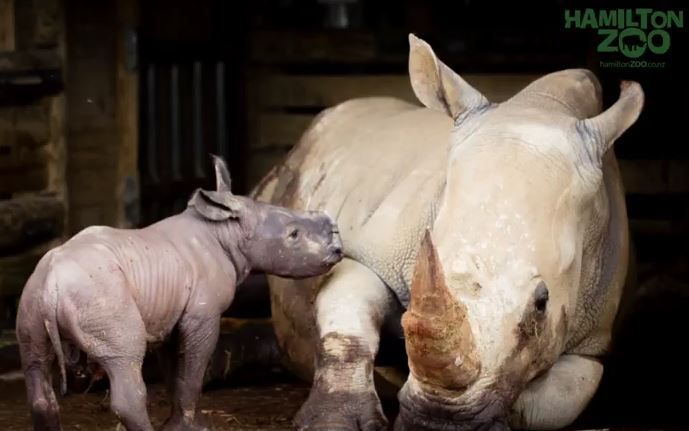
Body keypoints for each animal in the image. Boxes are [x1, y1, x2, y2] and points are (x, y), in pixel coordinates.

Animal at [18, 157, 344, 431]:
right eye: (293, 235)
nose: (338, 248)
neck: (225, 231)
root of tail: (51, 285)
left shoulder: (170, 314)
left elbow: (175, 374)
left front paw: (179, 425)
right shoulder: (203, 314)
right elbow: (192, 373)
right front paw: (193, 428)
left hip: (33, 299)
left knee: (36, 364)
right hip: (99, 294)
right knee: (125, 362)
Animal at [254, 34, 644, 431]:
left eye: (541, 303)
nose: (437, 420)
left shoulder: (592, 341)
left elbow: (558, 400)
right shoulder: (369, 252)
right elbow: (348, 325)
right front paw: (333, 422)